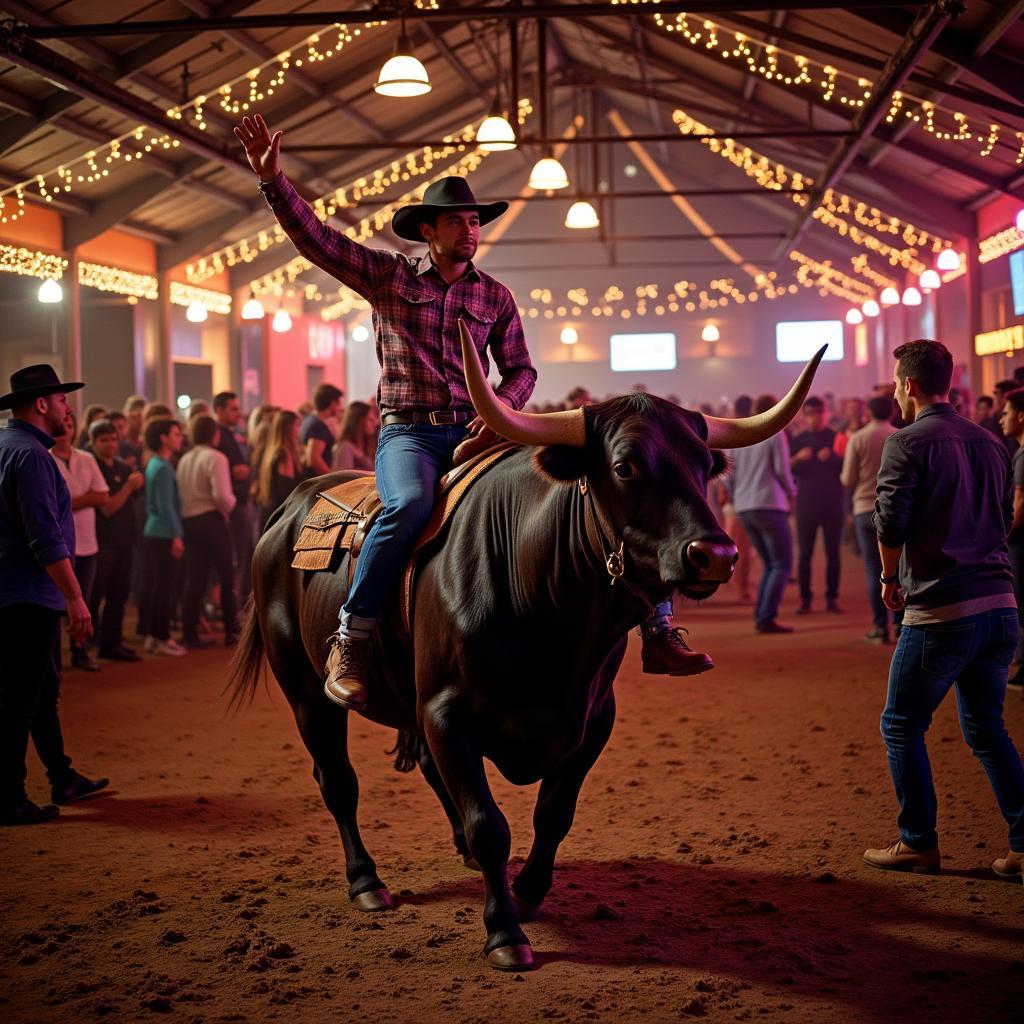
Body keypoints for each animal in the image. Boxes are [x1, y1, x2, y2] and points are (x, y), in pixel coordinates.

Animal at [230, 321, 823, 966]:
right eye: (624, 466)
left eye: (704, 467)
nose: (716, 554)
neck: (546, 612)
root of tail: (289, 508)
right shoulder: (445, 715)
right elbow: (490, 824)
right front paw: (505, 931)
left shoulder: (592, 719)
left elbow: (553, 813)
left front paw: (529, 893)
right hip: (307, 693)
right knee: (338, 782)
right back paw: (366, 881)